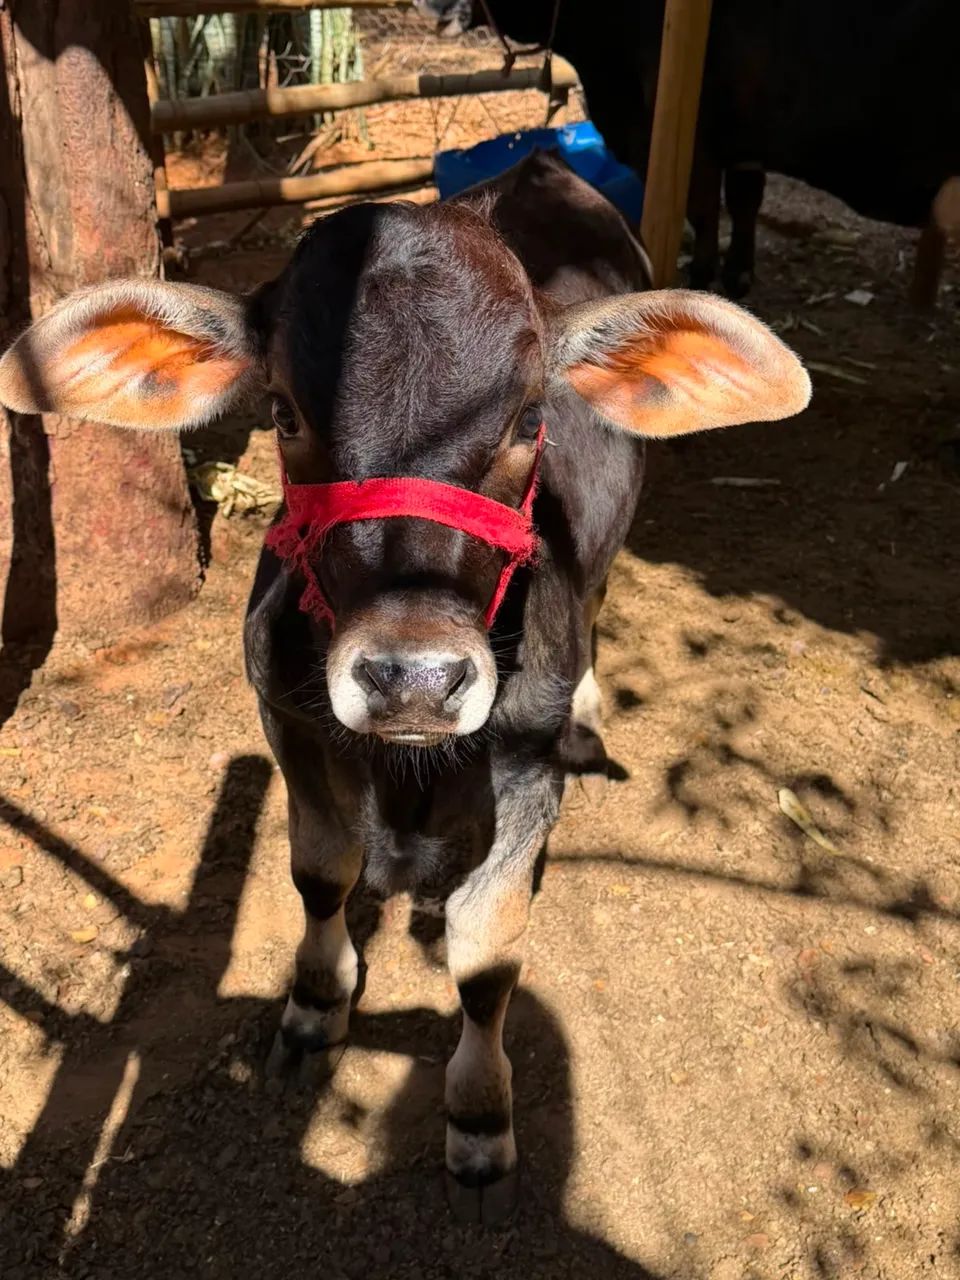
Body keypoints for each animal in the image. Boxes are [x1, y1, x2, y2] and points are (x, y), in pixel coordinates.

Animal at [0, 151, 810, 1223]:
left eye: (528, 419)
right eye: (284, 412)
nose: (415, 677)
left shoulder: (525, 775)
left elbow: (487, 958)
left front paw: (479, 1116)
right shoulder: (289, 725)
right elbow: (319, 875)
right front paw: (313, 1006)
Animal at [416, 0, 960, 298]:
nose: (431, 10)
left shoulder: (688, 134)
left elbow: (703, 208)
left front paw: (700, 275)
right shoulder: (742, 141)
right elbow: (744, 201)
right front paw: (737, 274)